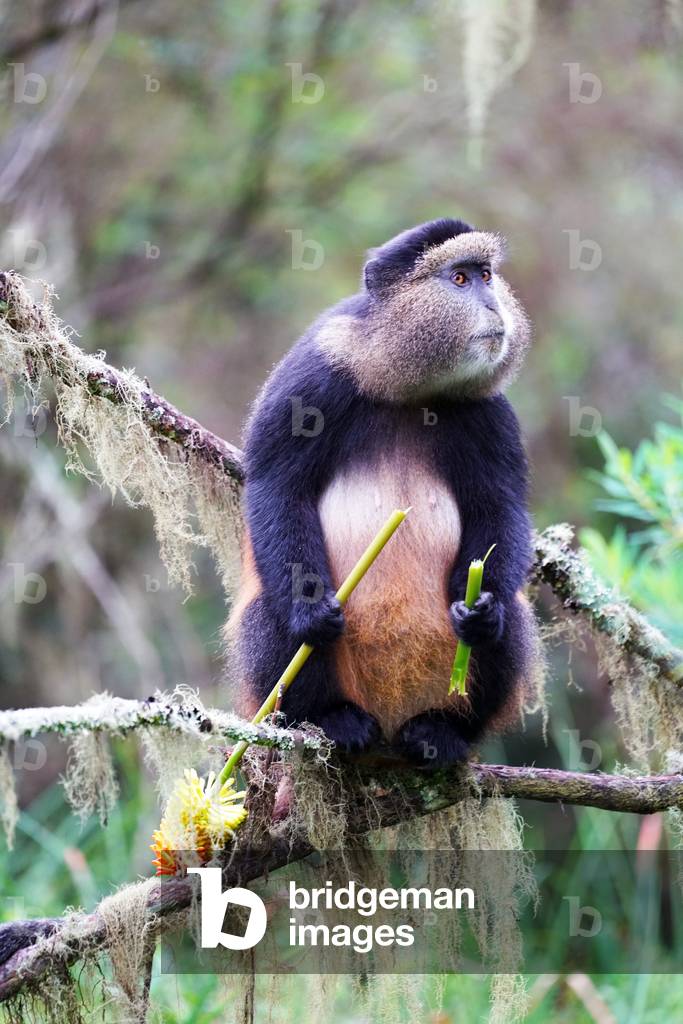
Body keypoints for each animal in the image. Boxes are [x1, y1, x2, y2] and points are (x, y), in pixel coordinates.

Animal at [227, 217, 537, 768]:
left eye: (486, 275)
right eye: (460, 279)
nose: (492, 303)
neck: (410, 388)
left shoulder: (490, 411)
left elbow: (500, 506)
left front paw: (480, 610)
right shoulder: (313, 374)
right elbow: (278, 485)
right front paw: (310, 611)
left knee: (514, 621)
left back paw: (443, 731)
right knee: (272, 612)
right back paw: (331, 719)